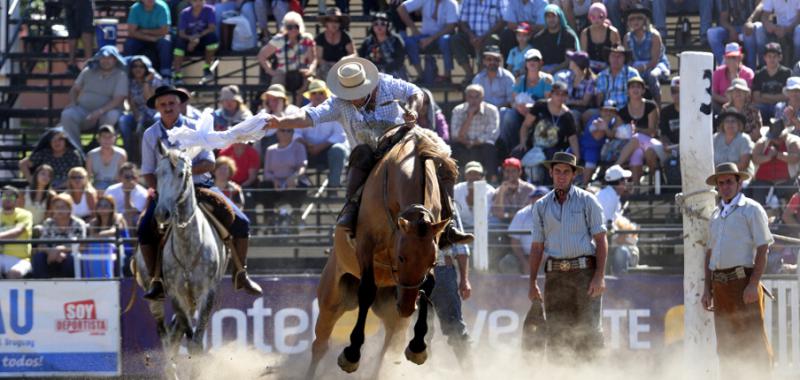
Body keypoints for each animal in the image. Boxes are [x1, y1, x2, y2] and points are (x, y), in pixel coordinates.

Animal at [132, 144, 225, 378]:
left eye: (181, 174)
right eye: (158, 173)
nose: (162, 213)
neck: (188, 247)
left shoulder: (208, 293)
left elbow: (196, 343)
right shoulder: (175, 293)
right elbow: (186, 338)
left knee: (176, 332)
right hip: (155, 298)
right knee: (165, 334)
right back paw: (170, 369)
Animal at [306, 127, 456, 378]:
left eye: (432, 262)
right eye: (401, 257)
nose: (406, 307)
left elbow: (428, 287)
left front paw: (418, 347)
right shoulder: (366, 245)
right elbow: (366, 290)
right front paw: (351, 354)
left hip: (391, 315)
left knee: (386, 350)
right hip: (331, 299)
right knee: (320, 345)